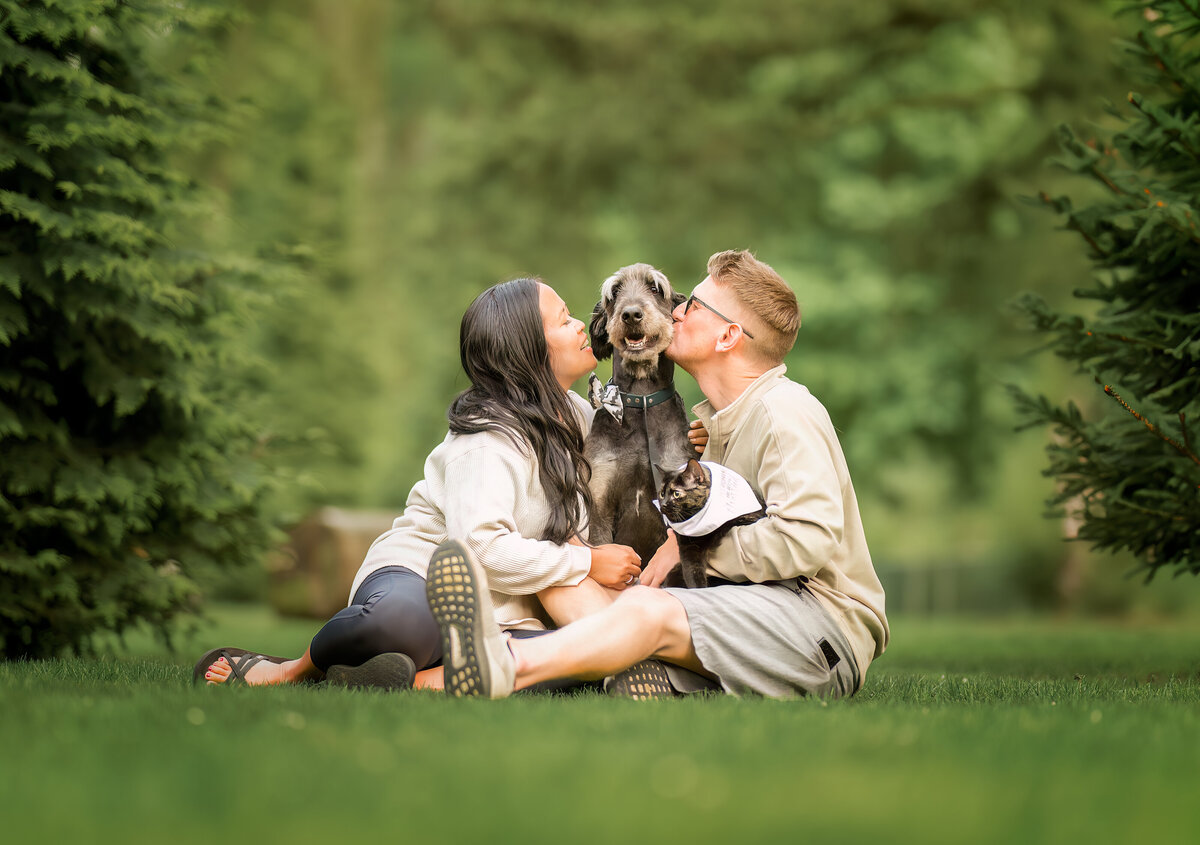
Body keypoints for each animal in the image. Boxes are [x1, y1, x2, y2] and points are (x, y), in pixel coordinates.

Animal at [662, 458, 763, 590]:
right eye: (661, 494)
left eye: (676, 493)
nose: (662, 505)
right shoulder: (688, 547)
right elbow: (692, 572)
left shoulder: (751, 518)